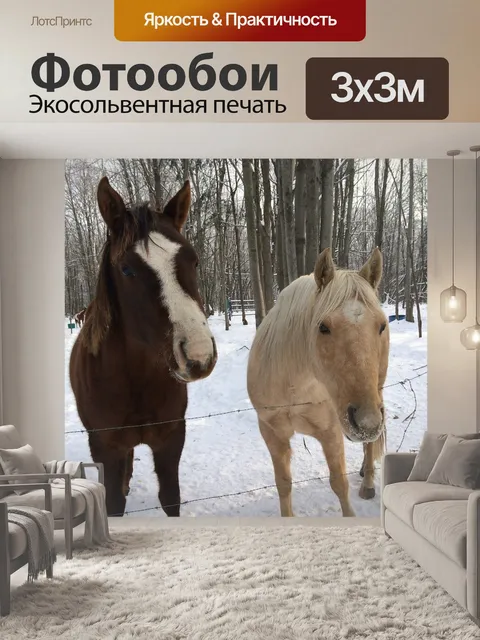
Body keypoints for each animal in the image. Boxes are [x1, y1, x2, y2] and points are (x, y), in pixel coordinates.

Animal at [69, 176, 217, 517]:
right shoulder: (106, 446)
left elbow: (170, 498)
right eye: (126, 269)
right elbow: (112, 503)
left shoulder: (171, 439)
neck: (136, 379)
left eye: (194, 260)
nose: (198, 356)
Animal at [247, 248, 389, 517]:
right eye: (323, 327)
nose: (366, 423)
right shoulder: (271, 433)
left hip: (377, 392)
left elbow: (339, 484)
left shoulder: (331, 431)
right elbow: (283, 484)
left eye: (381, 325)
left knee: (370, 444)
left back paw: (367, 483)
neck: (295, 389)